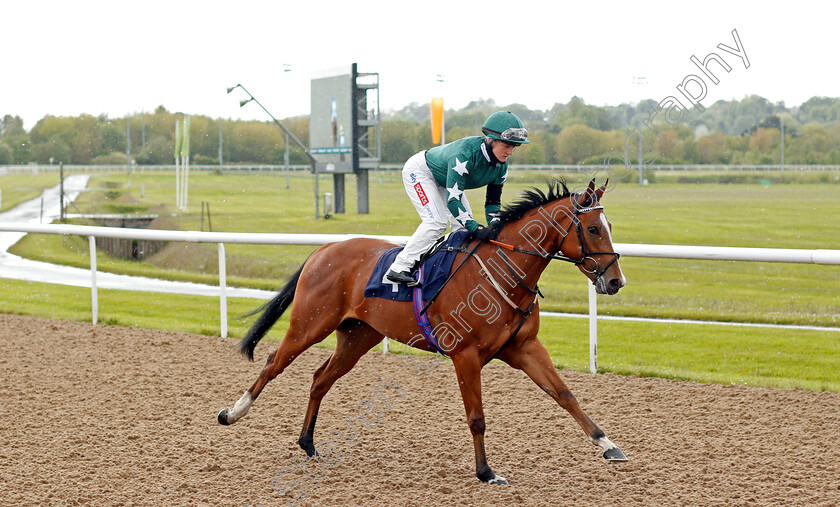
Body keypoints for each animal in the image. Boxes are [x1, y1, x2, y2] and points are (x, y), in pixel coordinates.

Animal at [220, 179, 628, 484]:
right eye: (593, 228)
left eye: (610, 227)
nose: (616, 281)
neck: (504, 271)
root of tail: (326, 248)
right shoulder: (466, 355)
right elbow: (477, 417)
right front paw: (486, 472)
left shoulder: (525, 347)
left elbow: (565, 394)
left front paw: (608, 445)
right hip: (308, 325)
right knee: (272, 364)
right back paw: (232, 413)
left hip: (357, 337)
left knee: (320, 379)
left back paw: (308, 443)